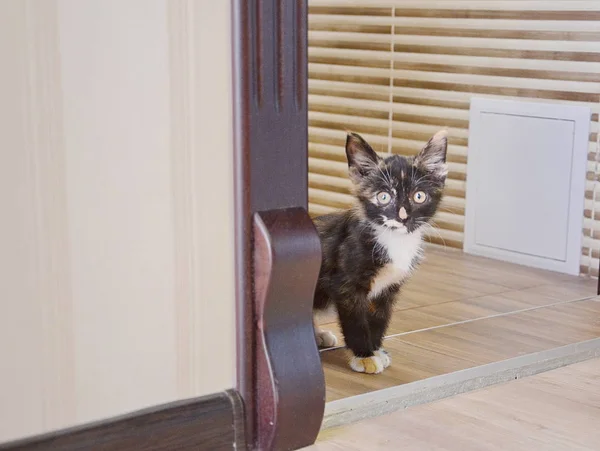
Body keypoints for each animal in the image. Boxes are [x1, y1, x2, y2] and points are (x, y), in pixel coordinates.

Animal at [314, 130, 446, 374]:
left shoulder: (388, 289)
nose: (402, 216)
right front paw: (364, 355)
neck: (395, 242)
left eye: (419, 196)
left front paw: (376, 350)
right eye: (383, 196)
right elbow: (356, 322)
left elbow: (379, 320)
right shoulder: (345, 285)